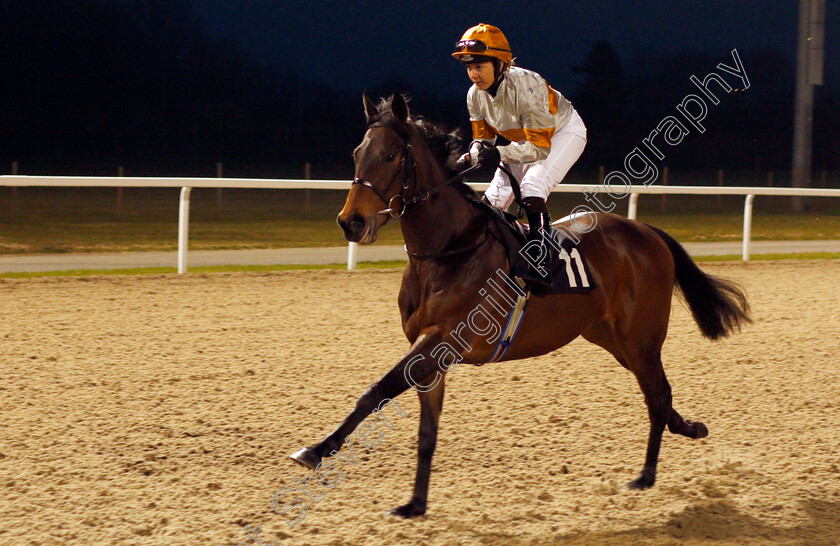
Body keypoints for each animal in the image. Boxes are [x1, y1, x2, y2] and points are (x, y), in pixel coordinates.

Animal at [292, 92, 752, 516]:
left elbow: (376, 391)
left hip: (641, 338)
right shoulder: (431, 356)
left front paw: (316, 449)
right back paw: (688, 428)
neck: (448, 249)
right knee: (660, 393)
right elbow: (426, 432)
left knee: (657, 395)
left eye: (389, 155)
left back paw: (646, 474)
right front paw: (415, 503)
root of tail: (648, 231)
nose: (350, 221)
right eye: (357, 154)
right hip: (611, 338)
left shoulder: (441, 340)